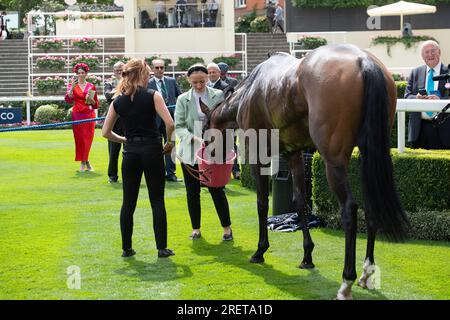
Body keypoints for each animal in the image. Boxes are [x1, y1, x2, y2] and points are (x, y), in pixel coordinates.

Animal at [207, 45, 412, 300]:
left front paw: (260, 251)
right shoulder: (294, 153)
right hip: (369, 152)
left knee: (349, 209)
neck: (252, 89)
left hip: (333, 160)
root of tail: (364, 61)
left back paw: (346, 282)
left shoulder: (257, 152)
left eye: (205, 130)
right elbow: (299, 201)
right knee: (371, 203)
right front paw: (307, 256)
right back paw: (366, 272)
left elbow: (262, 202)